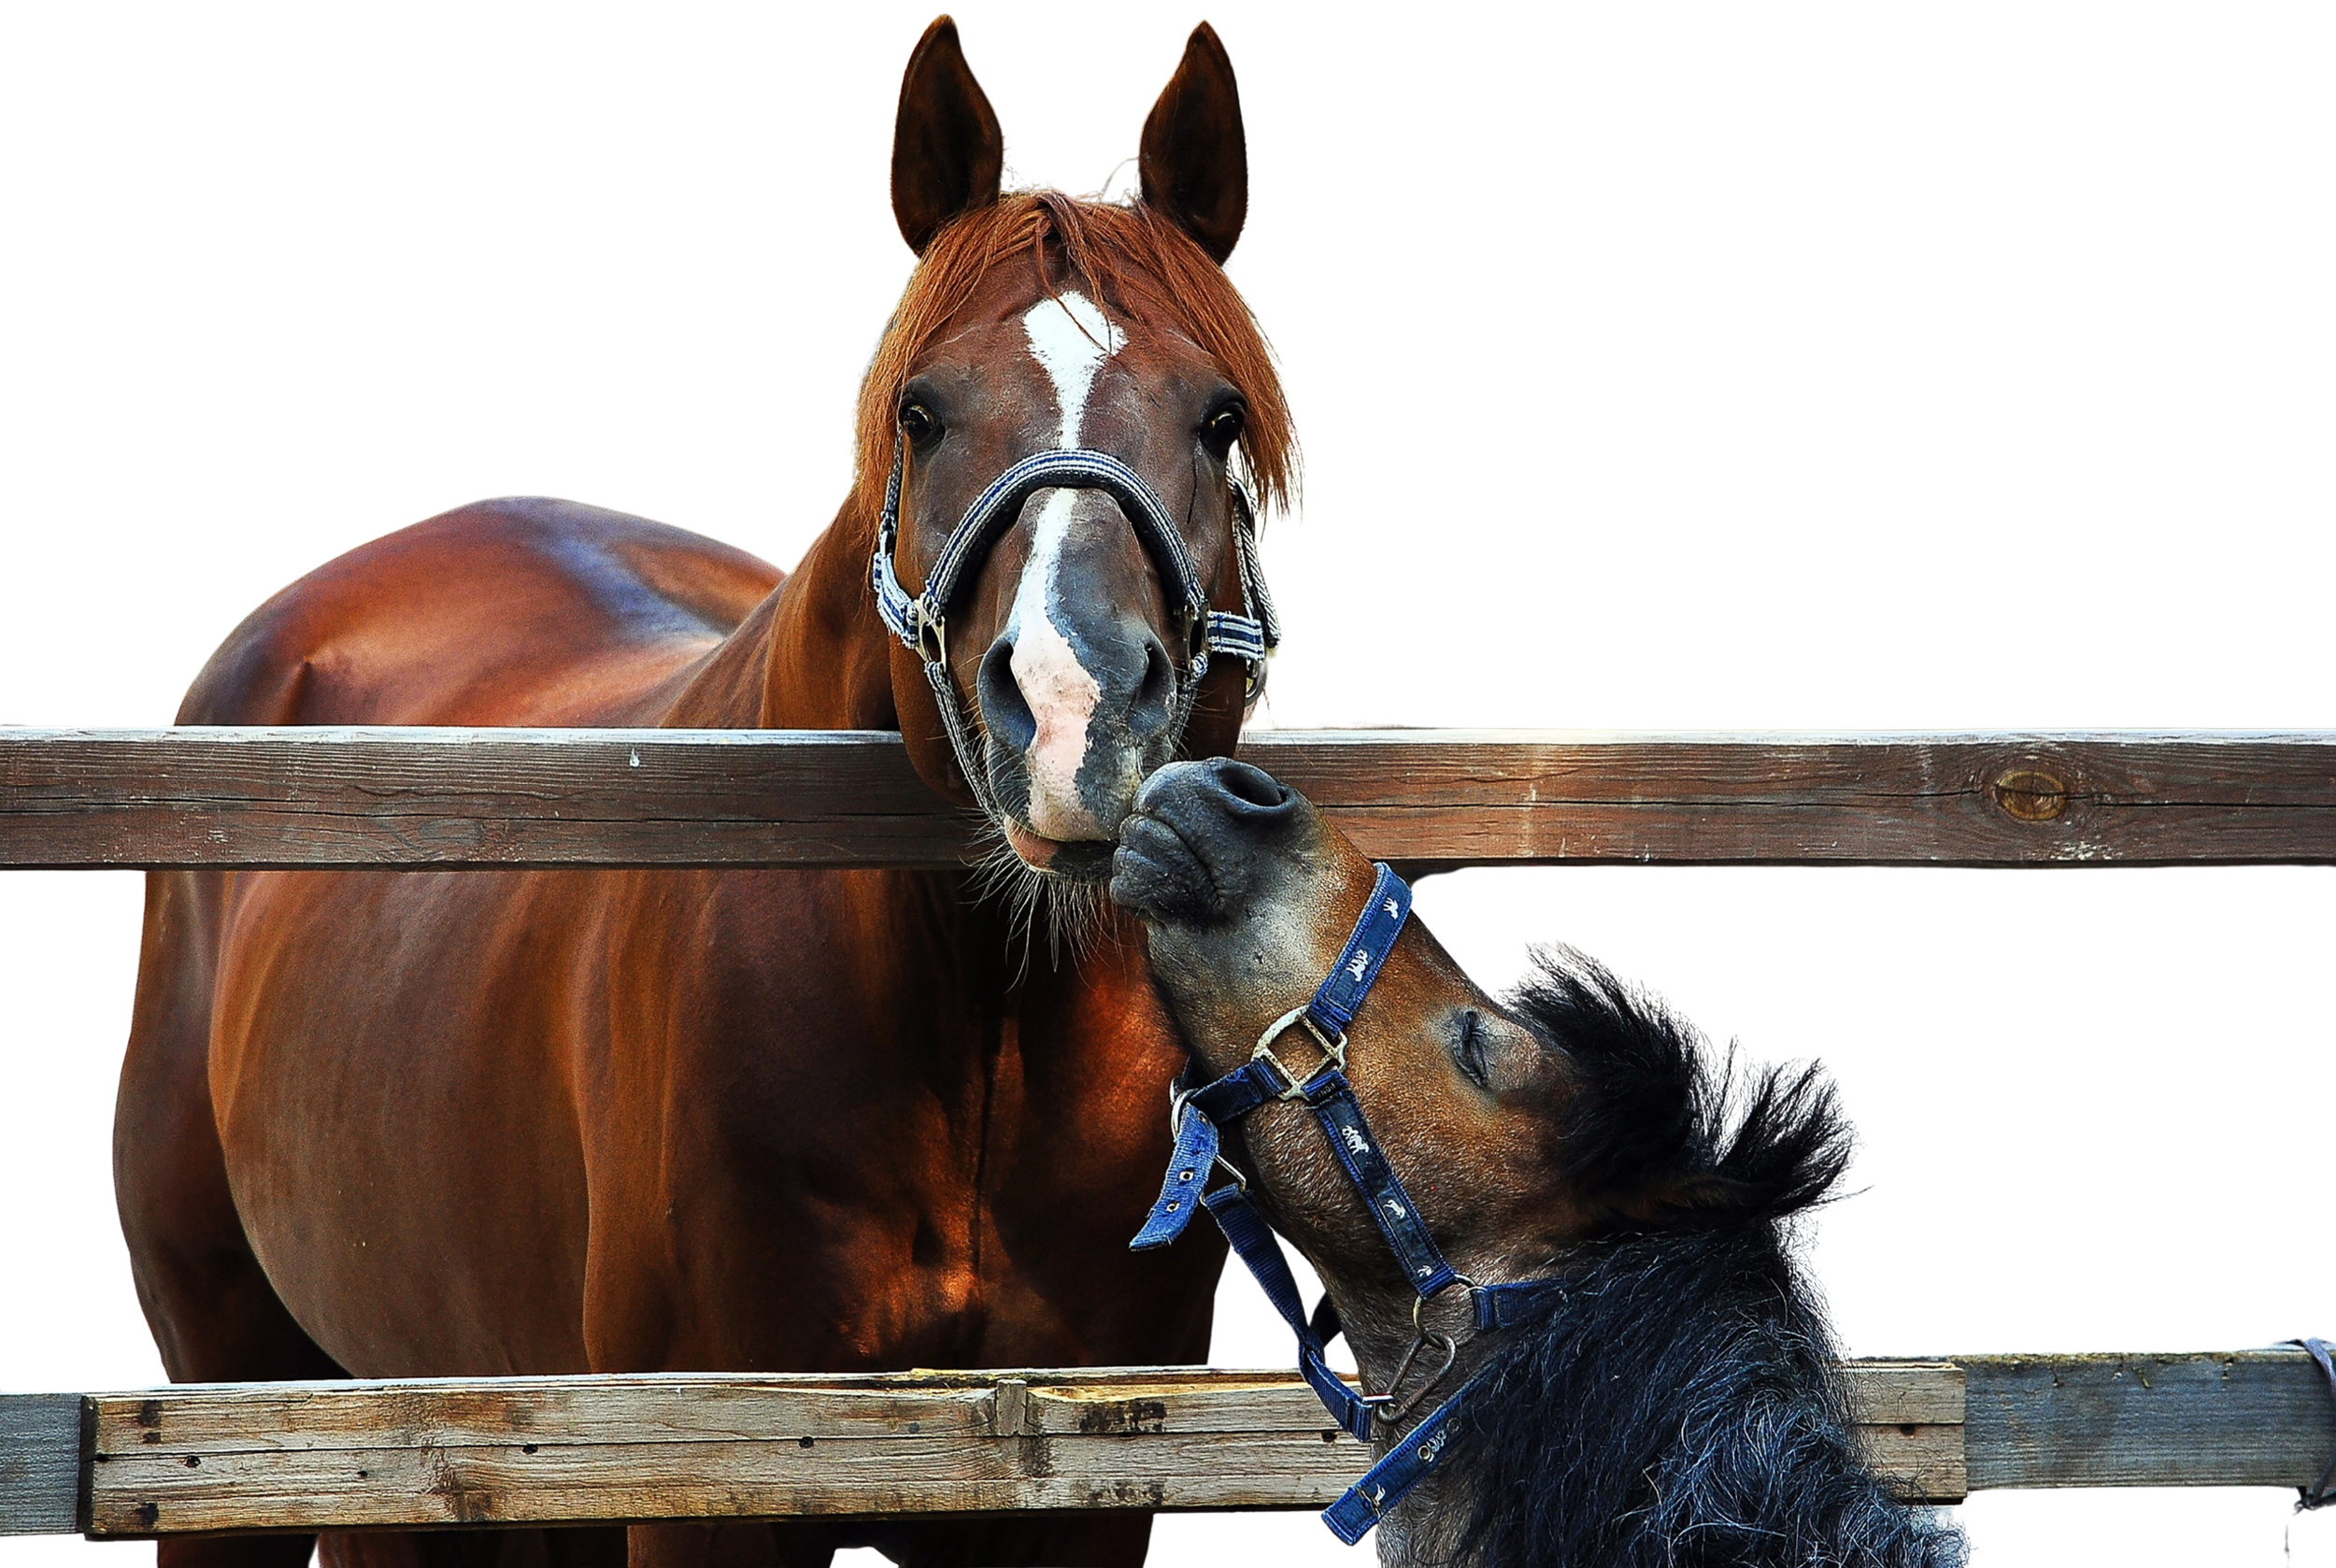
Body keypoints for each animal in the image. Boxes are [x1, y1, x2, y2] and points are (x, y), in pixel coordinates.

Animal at [114, 18, 1290, 1568]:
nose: (1074, 710)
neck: (976, 1026)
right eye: (921, 411)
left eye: (1218, 419)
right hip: (234, 1410)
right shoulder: (710, 1481)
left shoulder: (1073, 1502)